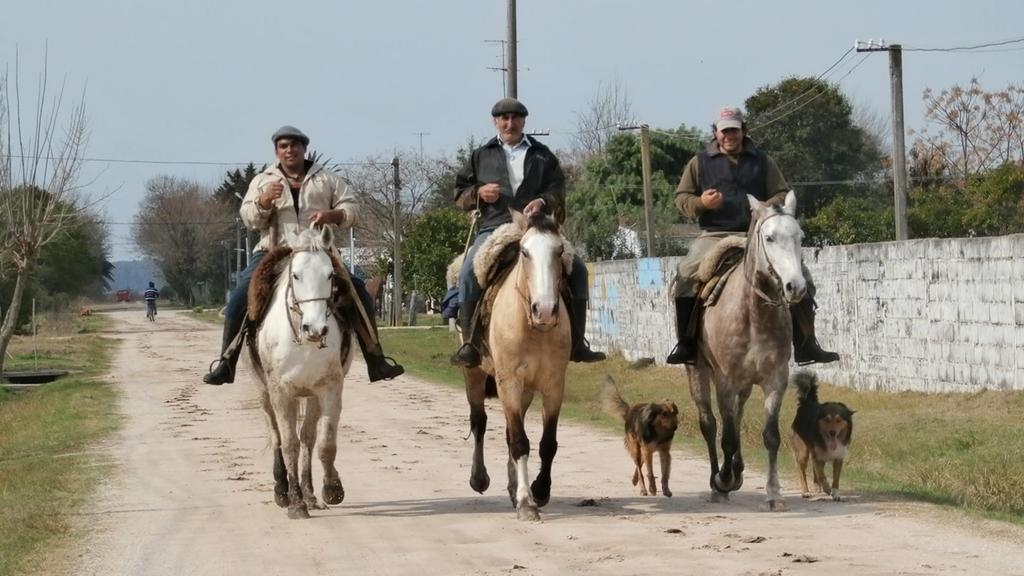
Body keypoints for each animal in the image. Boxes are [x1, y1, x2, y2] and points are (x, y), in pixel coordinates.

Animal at [245, 225, 354, 520]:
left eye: (330, 274)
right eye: (296, 275)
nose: (315, 329)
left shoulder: (329, 389)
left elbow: (324, 443)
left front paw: (332, 488)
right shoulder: (281, 393)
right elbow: (289, 444)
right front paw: (295, 502)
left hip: (311, 396)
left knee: (308, 437)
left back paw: (310, 494)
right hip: (263, 392)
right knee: (276, 436)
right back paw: (282, 490)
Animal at [462, 211, 573, 520]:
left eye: (559, 250)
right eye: (525, 252)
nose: (545, 310)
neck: (533, 327)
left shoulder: (554, 385)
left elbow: (546, 443)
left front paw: (540, 490)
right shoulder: (508, 381)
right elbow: (520, 443)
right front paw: (526, 502)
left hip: (525, 391)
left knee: (511, 429)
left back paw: (513, 486)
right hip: (475, 374)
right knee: (480, 421)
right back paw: (479, 478)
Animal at [790, 368, 856, 500]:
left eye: (839, 420)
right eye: (827, 420)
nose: (832, 432)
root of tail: (807, 403)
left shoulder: (838, 456)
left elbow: (836, 479)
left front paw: (835, 493)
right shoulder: (818, 455)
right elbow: (822, 475)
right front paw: (827, 488)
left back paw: (817, 486)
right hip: (803, 451)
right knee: (802, 471)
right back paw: (806, 491)